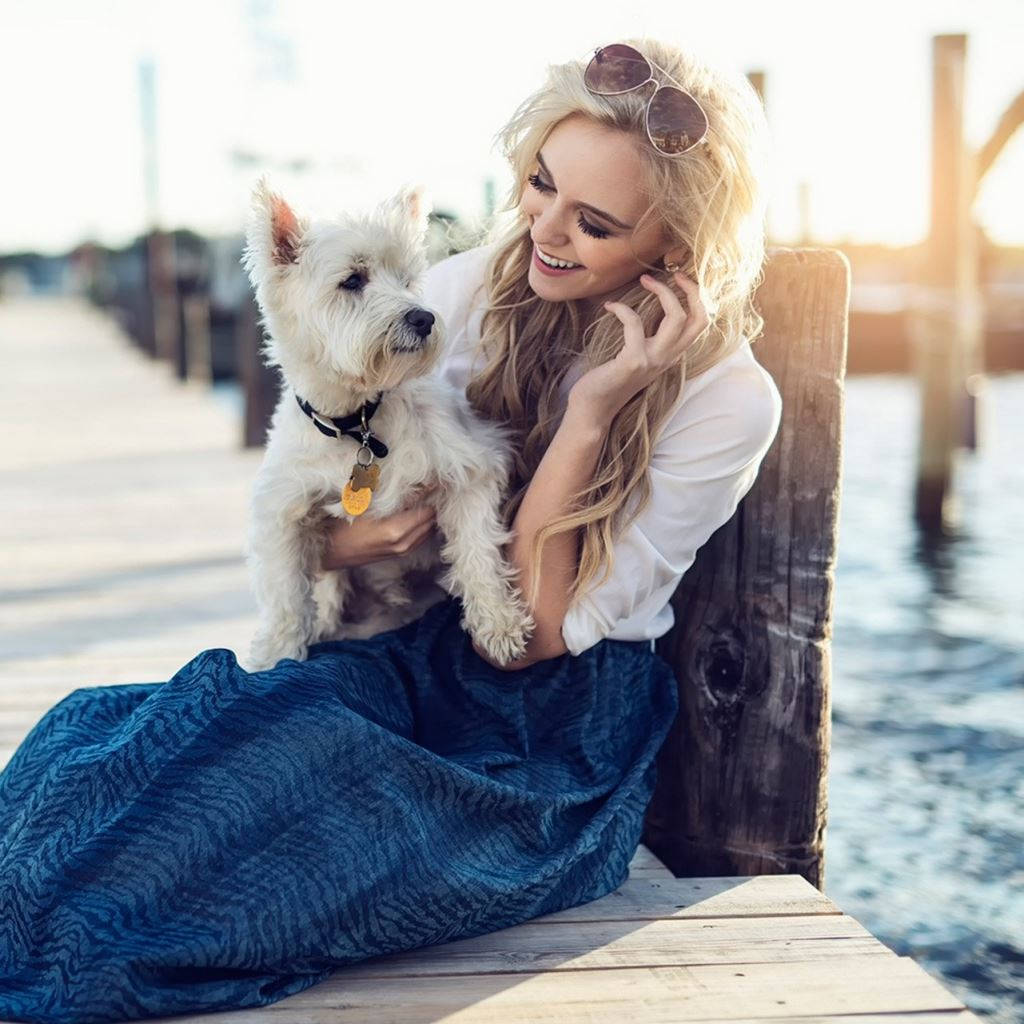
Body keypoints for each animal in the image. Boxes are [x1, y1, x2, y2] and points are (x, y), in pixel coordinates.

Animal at [236, 176, 532, 671]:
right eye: (353, 280)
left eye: (407, 281)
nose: (423, 317)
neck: (357, 421)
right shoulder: (282, 510)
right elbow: (285, 596)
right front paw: (276, 657)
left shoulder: (471, 466)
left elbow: (478, 549)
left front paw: (499, 624)